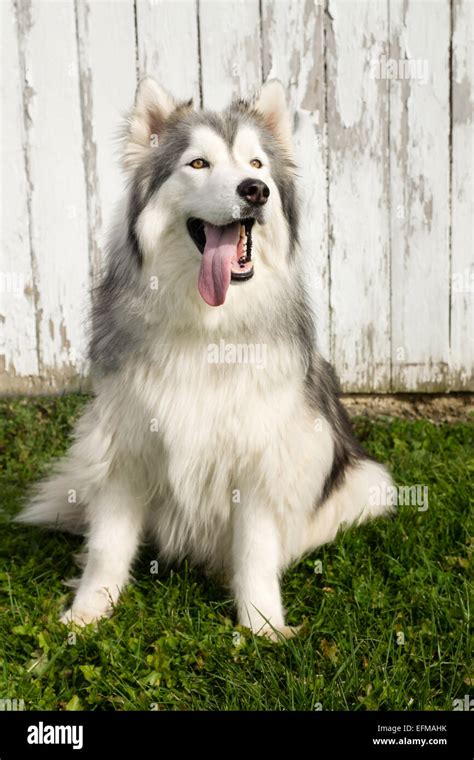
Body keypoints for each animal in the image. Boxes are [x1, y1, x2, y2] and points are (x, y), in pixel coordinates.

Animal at [17, 77, 396, 640]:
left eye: (257, 164)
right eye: (198, 163)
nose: (254, 191)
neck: (208, 324)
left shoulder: (261, 457)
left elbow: (257, 549)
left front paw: (262, 625)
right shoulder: (124, 445)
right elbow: (107, 546)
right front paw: (89, 612)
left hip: (361, 481)